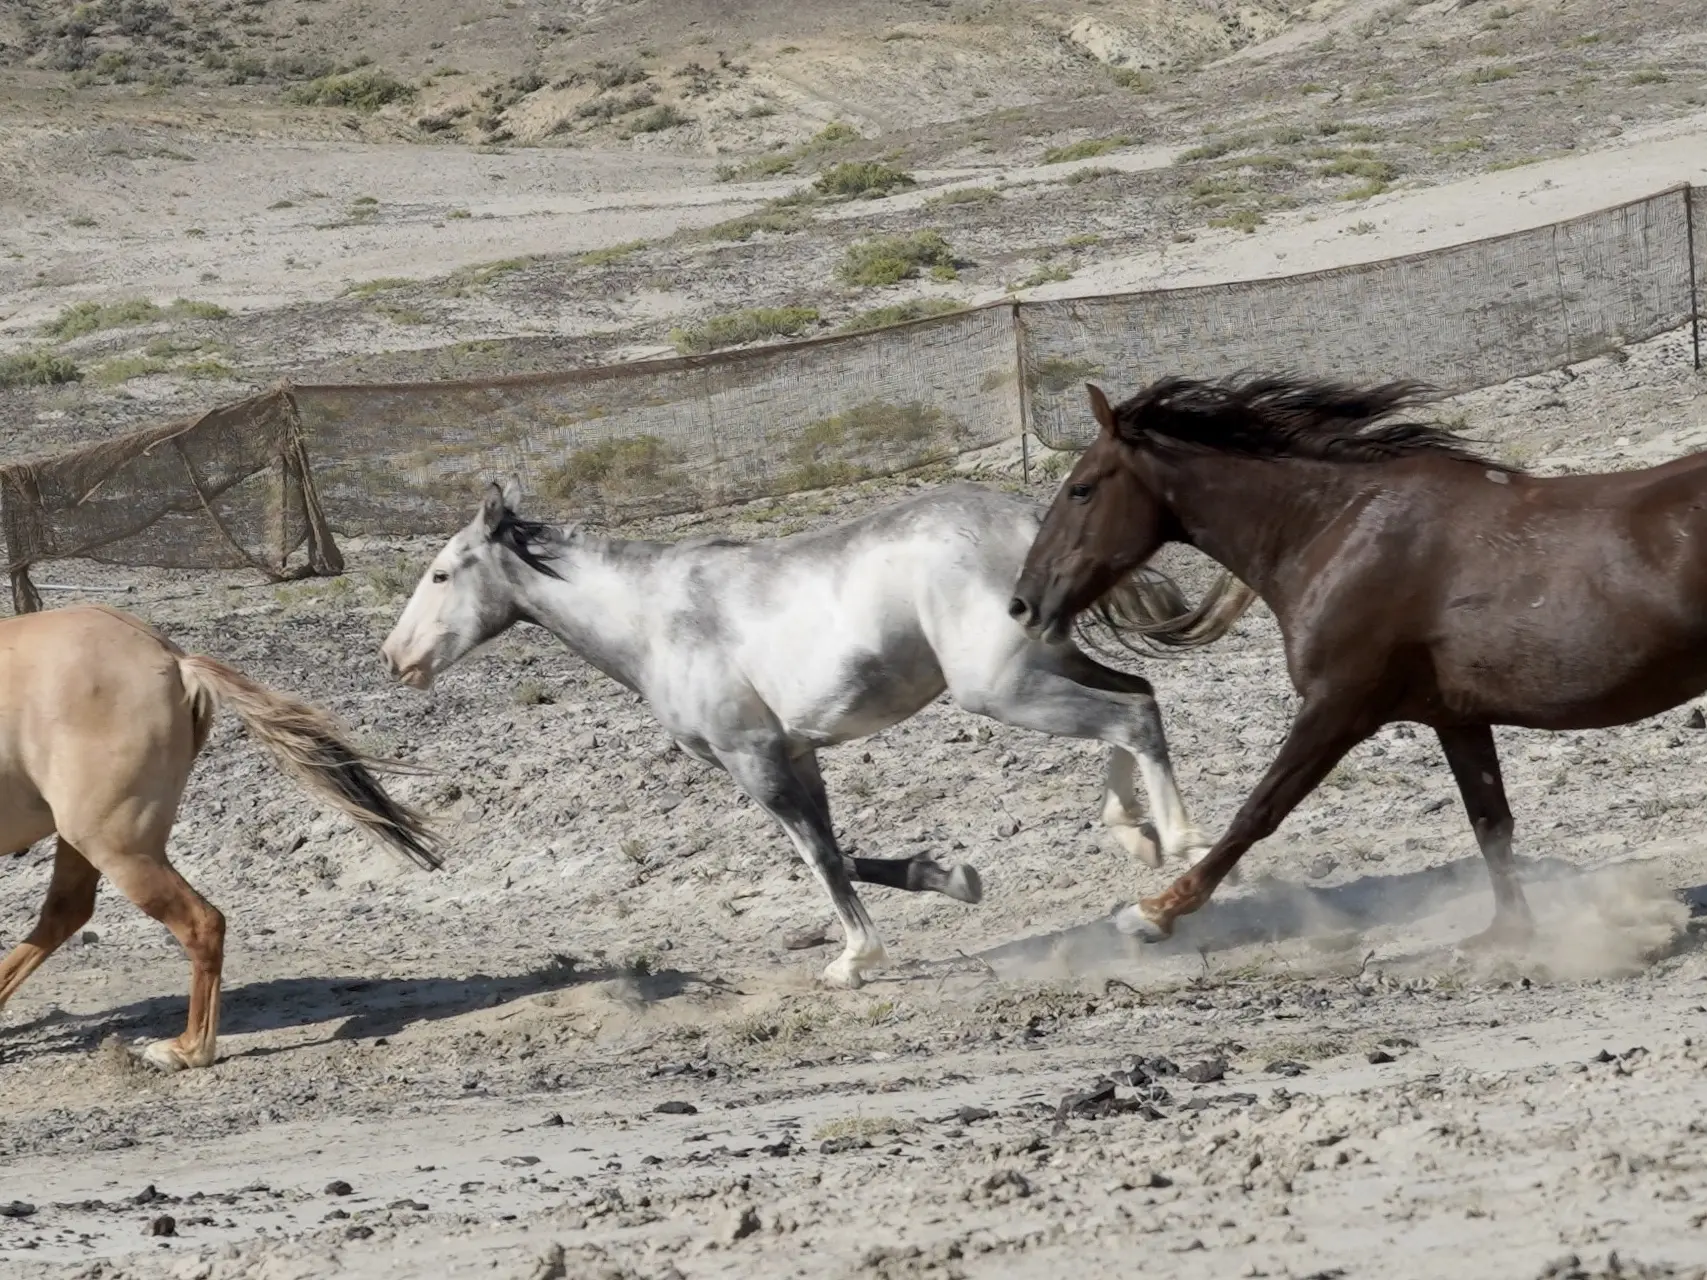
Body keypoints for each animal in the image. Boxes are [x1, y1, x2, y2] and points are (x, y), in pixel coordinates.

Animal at [1, 607, 440, 1064]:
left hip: (116, 846)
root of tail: (173, 660)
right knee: (65, 912)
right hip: (85, 840)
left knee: (201, 923)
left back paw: (186, 1050)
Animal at [380, 481, 1249, 989]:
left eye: (440, 573)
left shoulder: (753, 758)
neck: (654, 617)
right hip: (1046, 664)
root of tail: (1031, 520)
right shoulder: (796, 754)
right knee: (1140, 698)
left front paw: (853, 960)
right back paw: (1134, 834)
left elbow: (819, 857)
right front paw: (950, 876)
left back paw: (1177, 846)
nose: (396, 659)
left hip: (1001, 690)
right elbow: (836, 850)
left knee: (1130, 716)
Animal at [1003, 373, 1707, 955]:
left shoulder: (1339, 705)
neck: (1335, 530)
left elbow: (1258, 811)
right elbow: (1491, 822)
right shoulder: (1455, 718)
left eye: (1080, 489)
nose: (1023, 604)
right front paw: (1509, 936)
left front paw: (1153, 913)